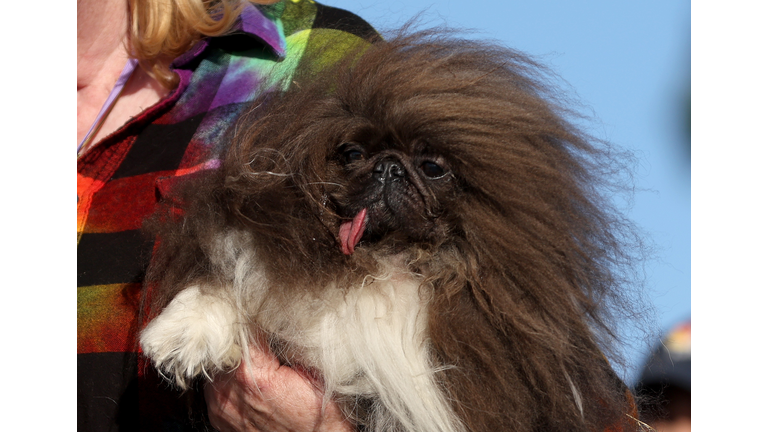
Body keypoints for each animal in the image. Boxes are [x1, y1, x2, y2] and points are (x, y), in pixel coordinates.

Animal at [141, 29, 640, 432]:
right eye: (351, 153)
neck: (383, 261)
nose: (388, 168)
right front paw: (181, 336)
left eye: (433, 167)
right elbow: (223, 283)